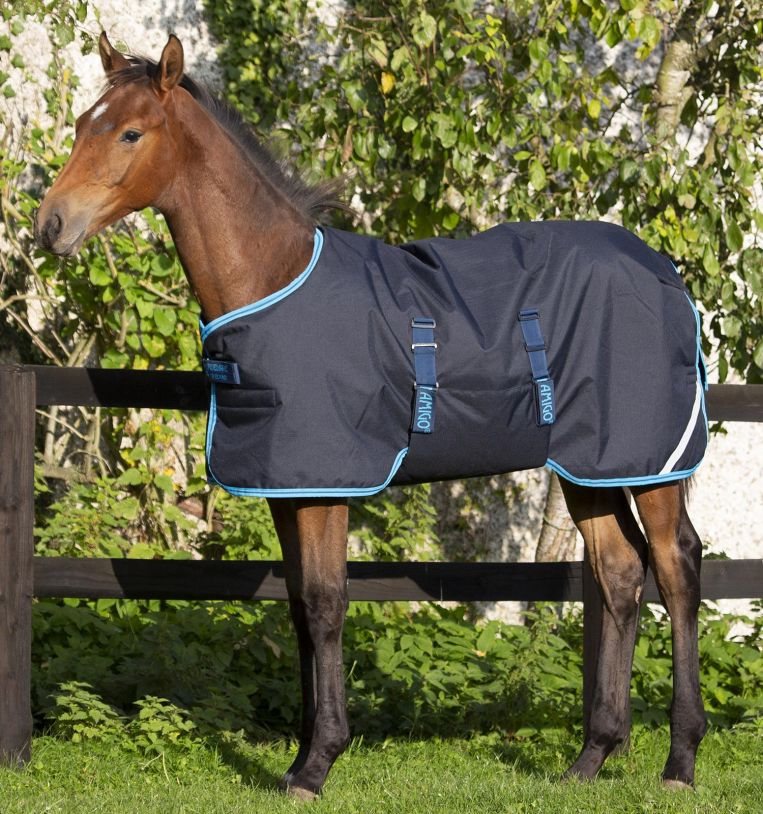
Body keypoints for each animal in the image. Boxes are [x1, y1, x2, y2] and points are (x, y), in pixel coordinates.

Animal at [35, 33, 708, 799]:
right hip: (589, 467)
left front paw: (318, 763)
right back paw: (591, 757)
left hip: (650, 463)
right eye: (82, 123)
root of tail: (664, 271)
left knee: (676, 569)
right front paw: (300, 756)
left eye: (130, 133)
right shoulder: (288, 488)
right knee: (620, 574)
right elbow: (299, 608)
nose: (50, 225)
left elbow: (327, 604)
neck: (273, 278)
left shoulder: (328, 487)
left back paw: (679, 761)